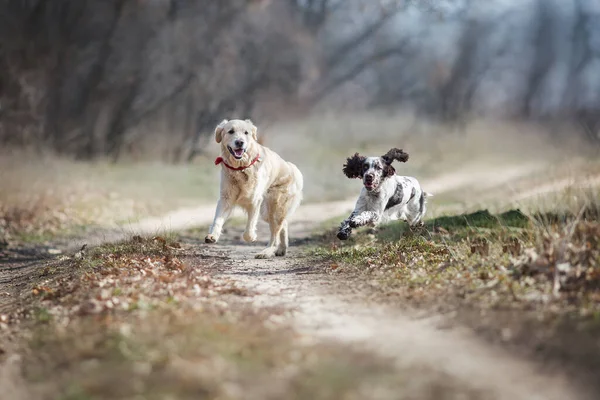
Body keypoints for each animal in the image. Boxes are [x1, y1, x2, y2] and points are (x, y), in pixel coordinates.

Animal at [205, 119, 302, 258]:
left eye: (246, 133)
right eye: (231, 131)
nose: (240, 142)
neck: (240, 168)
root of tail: (292, 168)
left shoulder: (255, 200)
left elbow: (249, 227)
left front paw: (251, 237)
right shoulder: (226, 199)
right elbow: (218, 220)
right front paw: (212, 236)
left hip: (273, 207)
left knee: (275, 234)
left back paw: (266, 252)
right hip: (266, 212)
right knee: (284, 224)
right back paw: (281, 249)